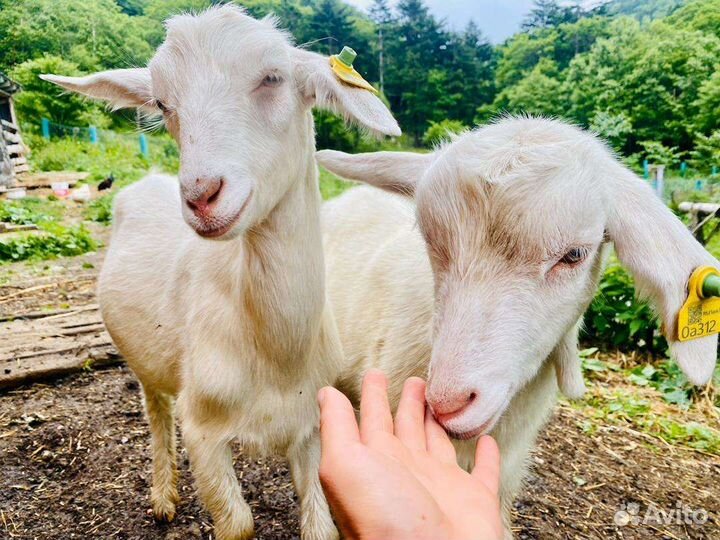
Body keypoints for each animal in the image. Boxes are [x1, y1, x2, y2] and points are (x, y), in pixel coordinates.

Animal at [42, 6, 400, 539]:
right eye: (163, 102)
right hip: (143, 362)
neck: (275, 354)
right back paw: (163, 496)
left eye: (273, 77)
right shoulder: (205, 430)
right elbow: (238, 522)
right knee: (156, 410)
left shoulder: (311, 422)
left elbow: (320, 523)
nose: (201, 195)